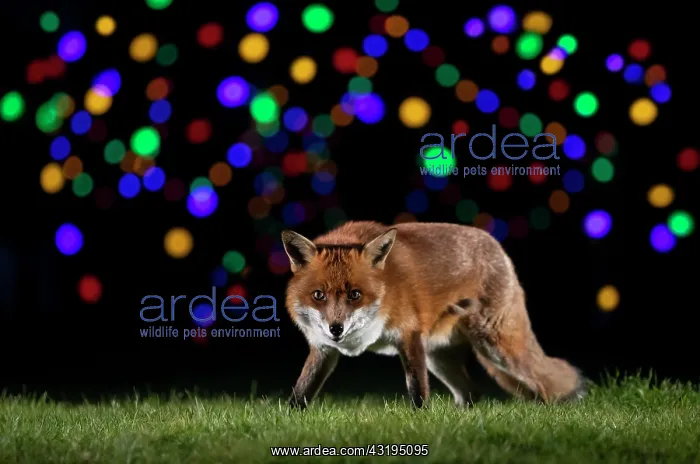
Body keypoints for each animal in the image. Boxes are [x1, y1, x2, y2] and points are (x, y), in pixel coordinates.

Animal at [281, 221, 585, 409]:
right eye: (318, 295)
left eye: (355, 295)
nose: (337, 329)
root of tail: (496, 245)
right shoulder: (323, 349)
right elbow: (301, 391)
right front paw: (292, 416)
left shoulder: (409, 334)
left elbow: (418, 390)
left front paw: (420, 420)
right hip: (440, 359)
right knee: (471, 393)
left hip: (498, 349)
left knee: (541, 382)